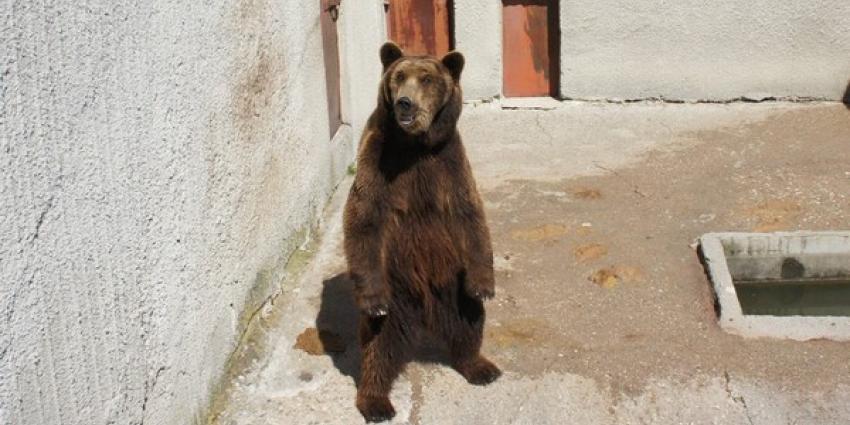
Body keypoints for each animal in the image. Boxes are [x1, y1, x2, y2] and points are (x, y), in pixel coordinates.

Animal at [342, 43, 500, 420]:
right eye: (399, 76)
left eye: (426, 78)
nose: (405, 103)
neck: (416, 147)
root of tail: (424, 313)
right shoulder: (379, 162)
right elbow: (363, 218)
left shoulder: (448, 163)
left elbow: (469, 215)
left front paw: (486, 286)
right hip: (394, 286)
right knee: (378, 344)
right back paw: (375, 401)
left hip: (453, 282)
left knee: (469, 319)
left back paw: (479, 366)